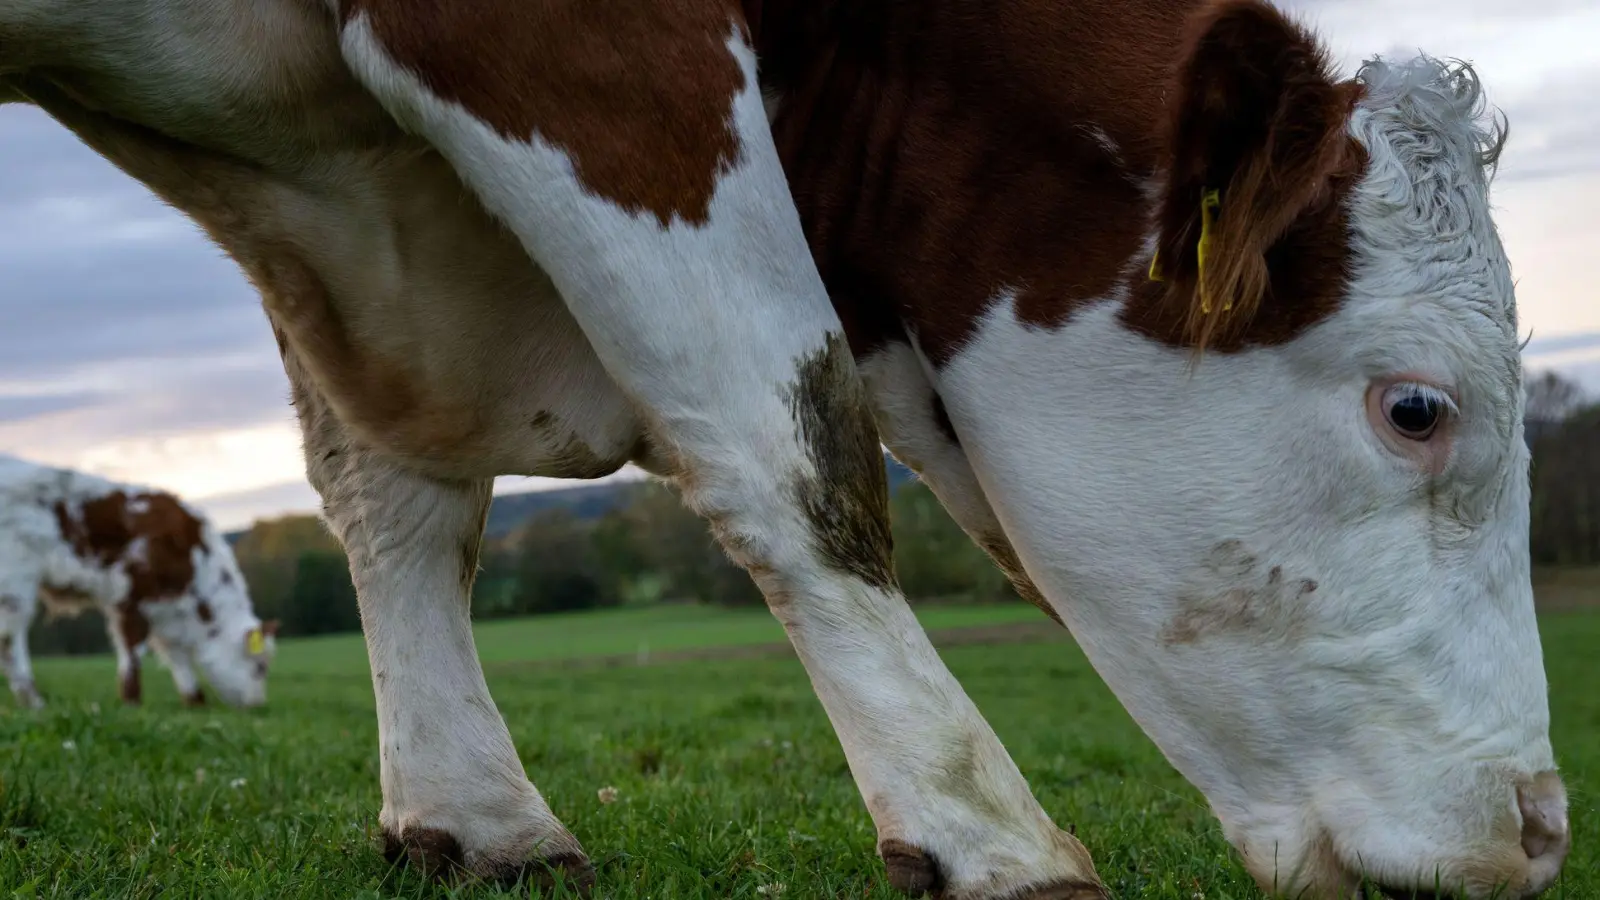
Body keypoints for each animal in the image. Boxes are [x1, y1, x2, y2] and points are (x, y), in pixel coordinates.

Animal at [0, 451, 278, 711]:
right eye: (260, 666)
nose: (258, 704)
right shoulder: (132, 593)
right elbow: (134, 649)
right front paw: (132, 702)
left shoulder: (166, 609)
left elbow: (176, 654)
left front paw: (195, 701)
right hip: (15, 585)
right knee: (10, 639)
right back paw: (34, 702)